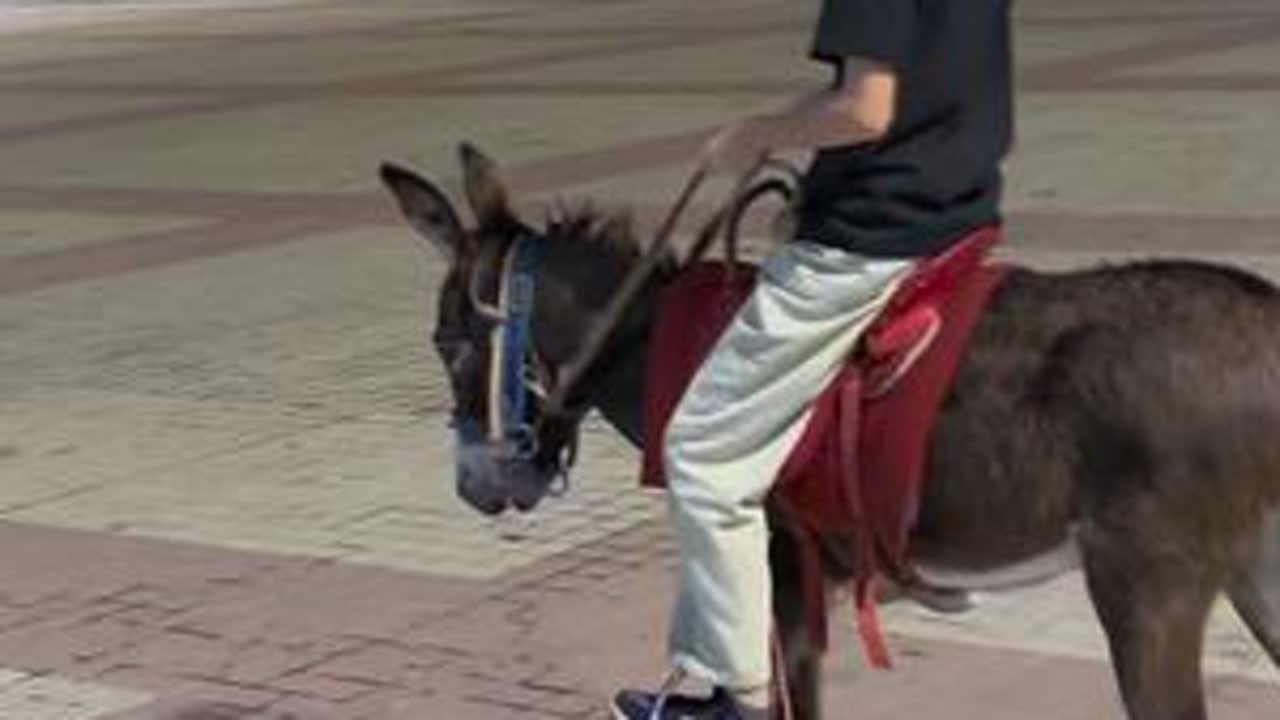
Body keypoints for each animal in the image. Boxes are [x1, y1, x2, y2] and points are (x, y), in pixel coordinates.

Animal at [379, 143, 1280, 720]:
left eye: (446, 341)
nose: (477, 487)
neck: (678, 349)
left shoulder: (785, 564)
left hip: (1146, 582)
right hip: (1250, 567)